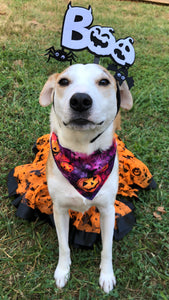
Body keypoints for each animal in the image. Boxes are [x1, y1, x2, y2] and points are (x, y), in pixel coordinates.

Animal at [39, 63, 133, 292]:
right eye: (63, 81)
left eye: (104, 81)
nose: (80, 100)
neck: (83, 155)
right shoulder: (59, 210)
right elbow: (63, 245)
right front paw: (63, 270)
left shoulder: (108, 211)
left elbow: (107, 248)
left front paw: (107, 275)